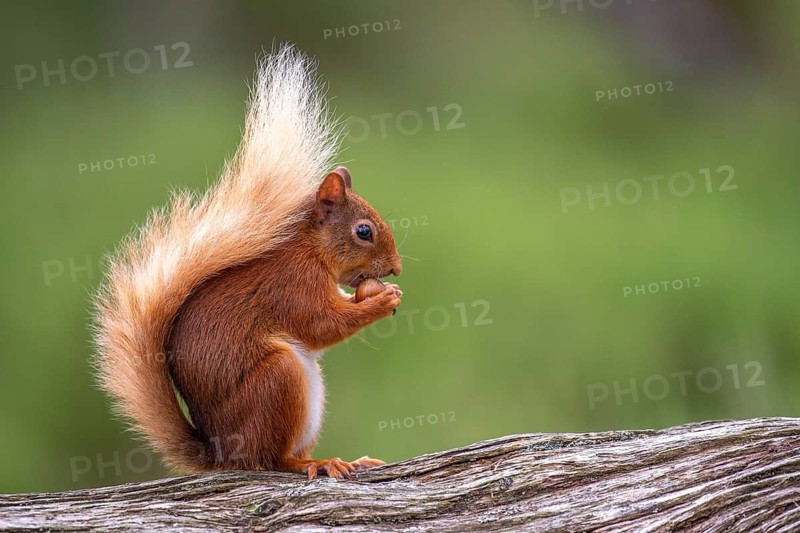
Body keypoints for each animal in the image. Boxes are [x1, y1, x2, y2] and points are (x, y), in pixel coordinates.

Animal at [93, 45, 403, 479]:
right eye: (364, 231)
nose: (395, 268)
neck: (311, 251)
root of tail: (222, 454)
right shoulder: (293, 285)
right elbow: (322, 324)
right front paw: (382, 300)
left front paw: (381, 292)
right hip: (278, 379)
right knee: (273, 459)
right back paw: (318, 463)